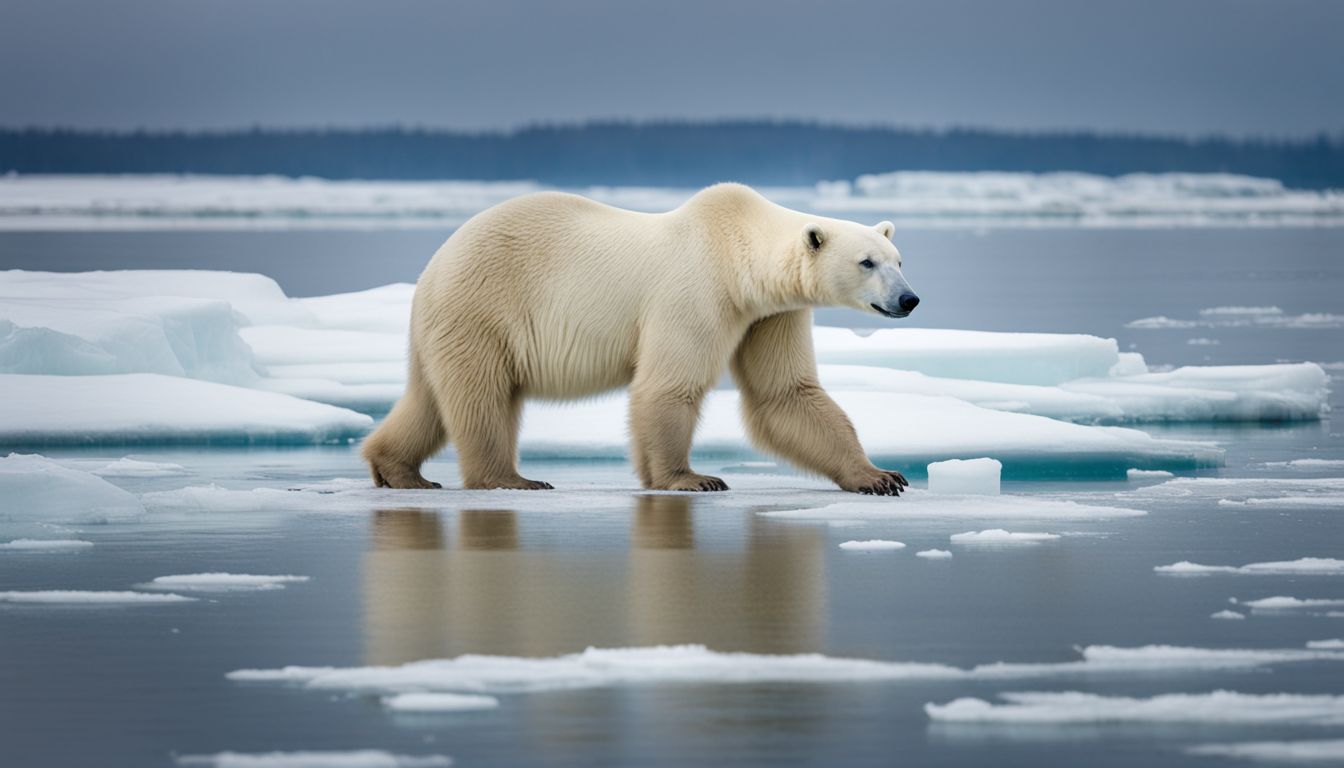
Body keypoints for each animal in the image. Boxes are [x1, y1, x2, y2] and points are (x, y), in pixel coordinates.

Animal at [362, 182, 919, 492]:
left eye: (897, 260)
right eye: (866, 262)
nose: (909, 299)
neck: (736, 251)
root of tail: (434, 266)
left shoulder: (770, 315)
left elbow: (785, 393)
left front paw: (880, 476)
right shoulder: (697, 292)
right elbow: (669, 385)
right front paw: (692, 478)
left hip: (449, 322)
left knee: (429, 399)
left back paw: (399, 470)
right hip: (485, 306)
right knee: (483, 398)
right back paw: (513, 478)